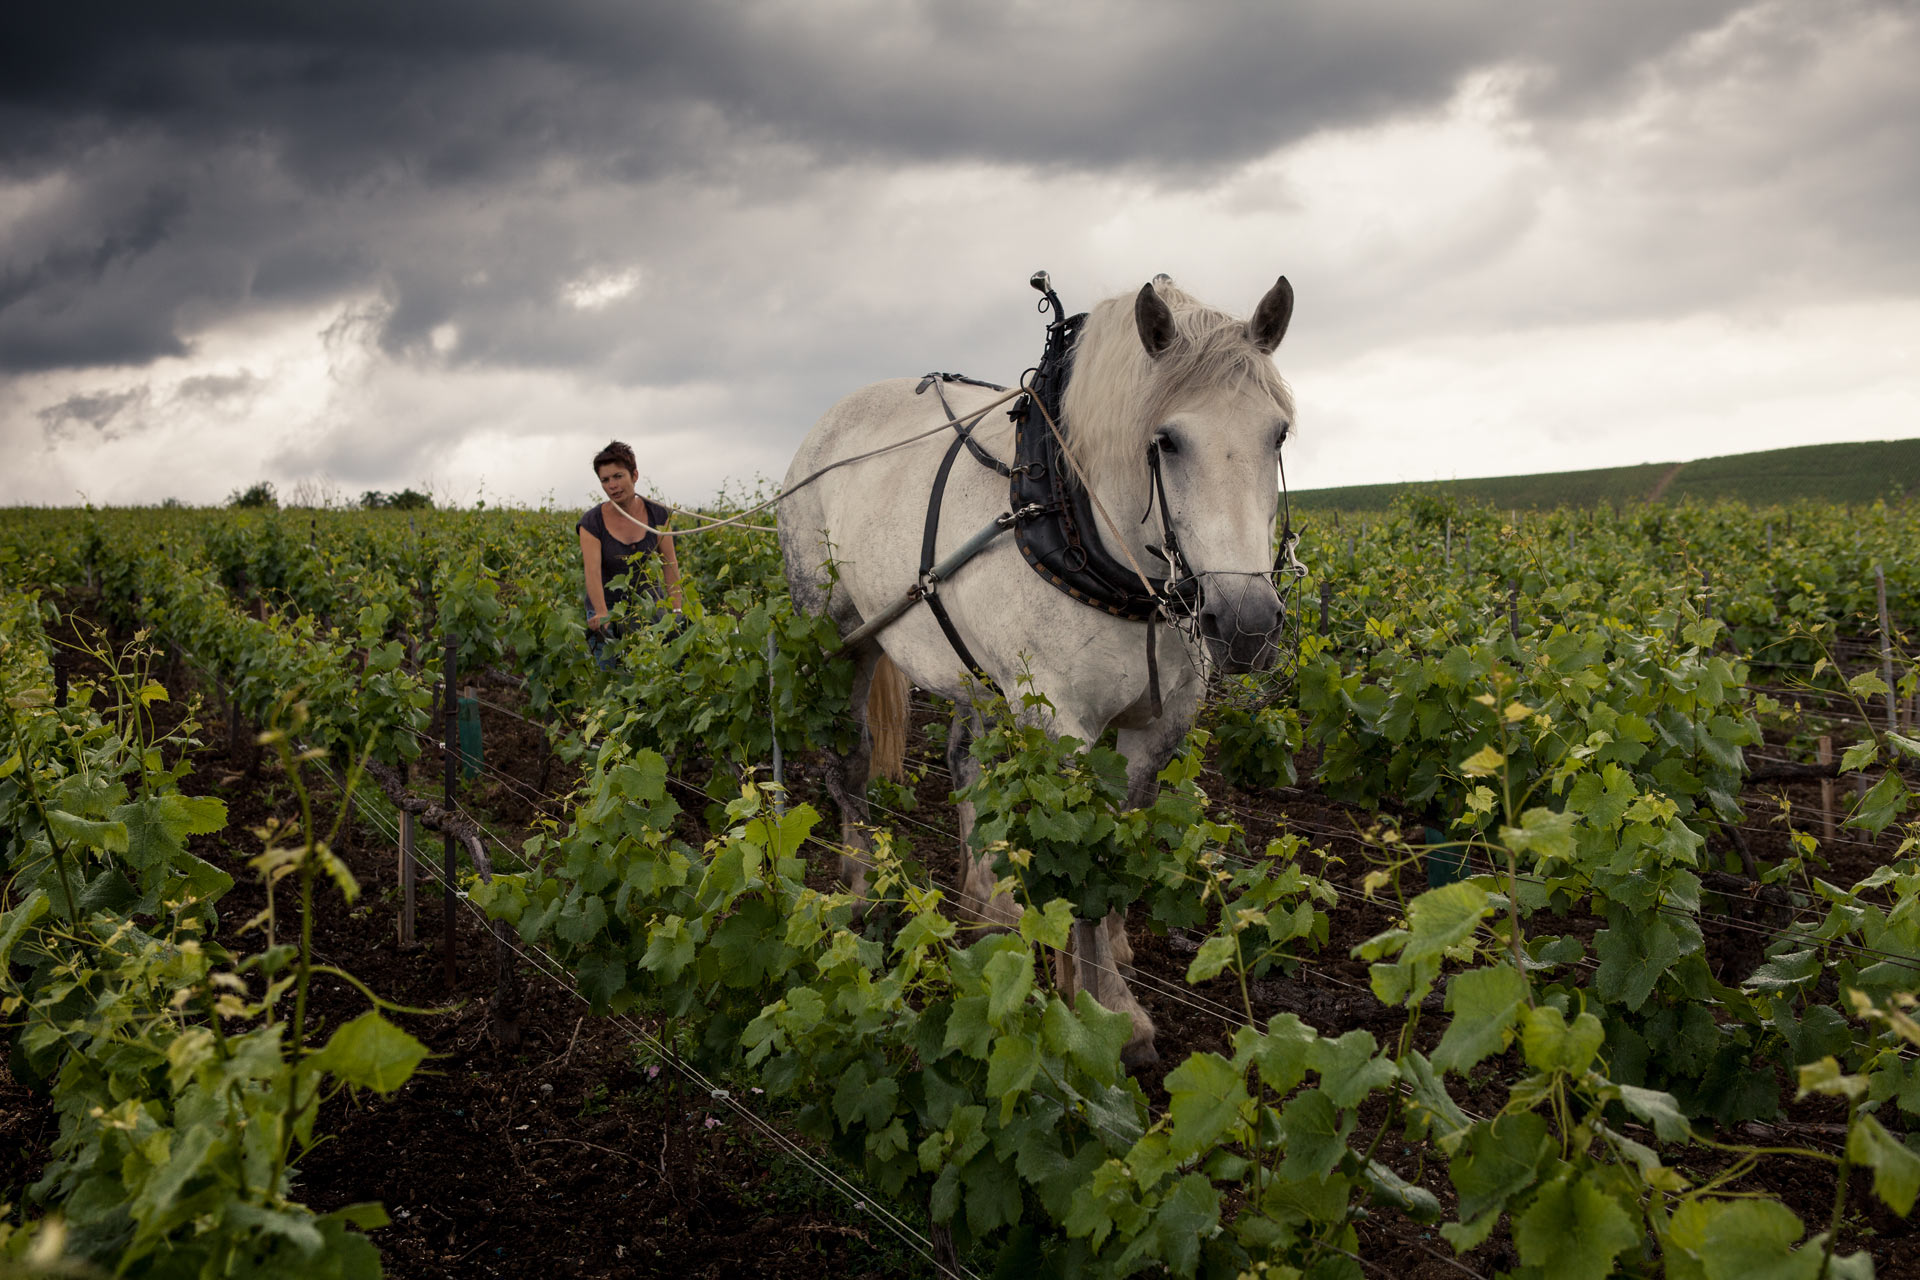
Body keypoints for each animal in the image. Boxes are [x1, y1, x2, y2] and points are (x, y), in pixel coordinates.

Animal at [775, 272, 1290, 1074]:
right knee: (849, 761)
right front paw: (1108, 1014)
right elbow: (1083, 855)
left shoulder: (1159, 724)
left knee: (963, 761)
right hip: (838, 632)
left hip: (973, 668)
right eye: (1167, 441)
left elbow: (1123, 839)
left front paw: (1107, 957)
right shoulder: (1062, 725)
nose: (1247, 624)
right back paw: (859, 892)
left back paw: (992, 901)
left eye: (1279, 434)